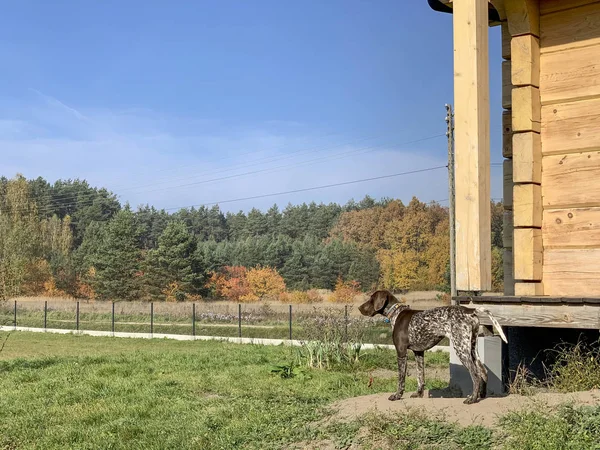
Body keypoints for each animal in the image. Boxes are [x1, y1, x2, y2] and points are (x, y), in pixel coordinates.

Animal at [358, 290, 508, 406]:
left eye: (371, 299)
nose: (359, 308)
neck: (396, 313)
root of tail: (469, 310)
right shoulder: (419, 352)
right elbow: (420, 376)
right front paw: (418, 394)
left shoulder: (401, 352)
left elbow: (401, 379)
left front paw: (397, 395)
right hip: (472, 348)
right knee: (483, 371)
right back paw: (481, 396)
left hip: (461, 348)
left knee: (475, 374)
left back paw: (471, 399)